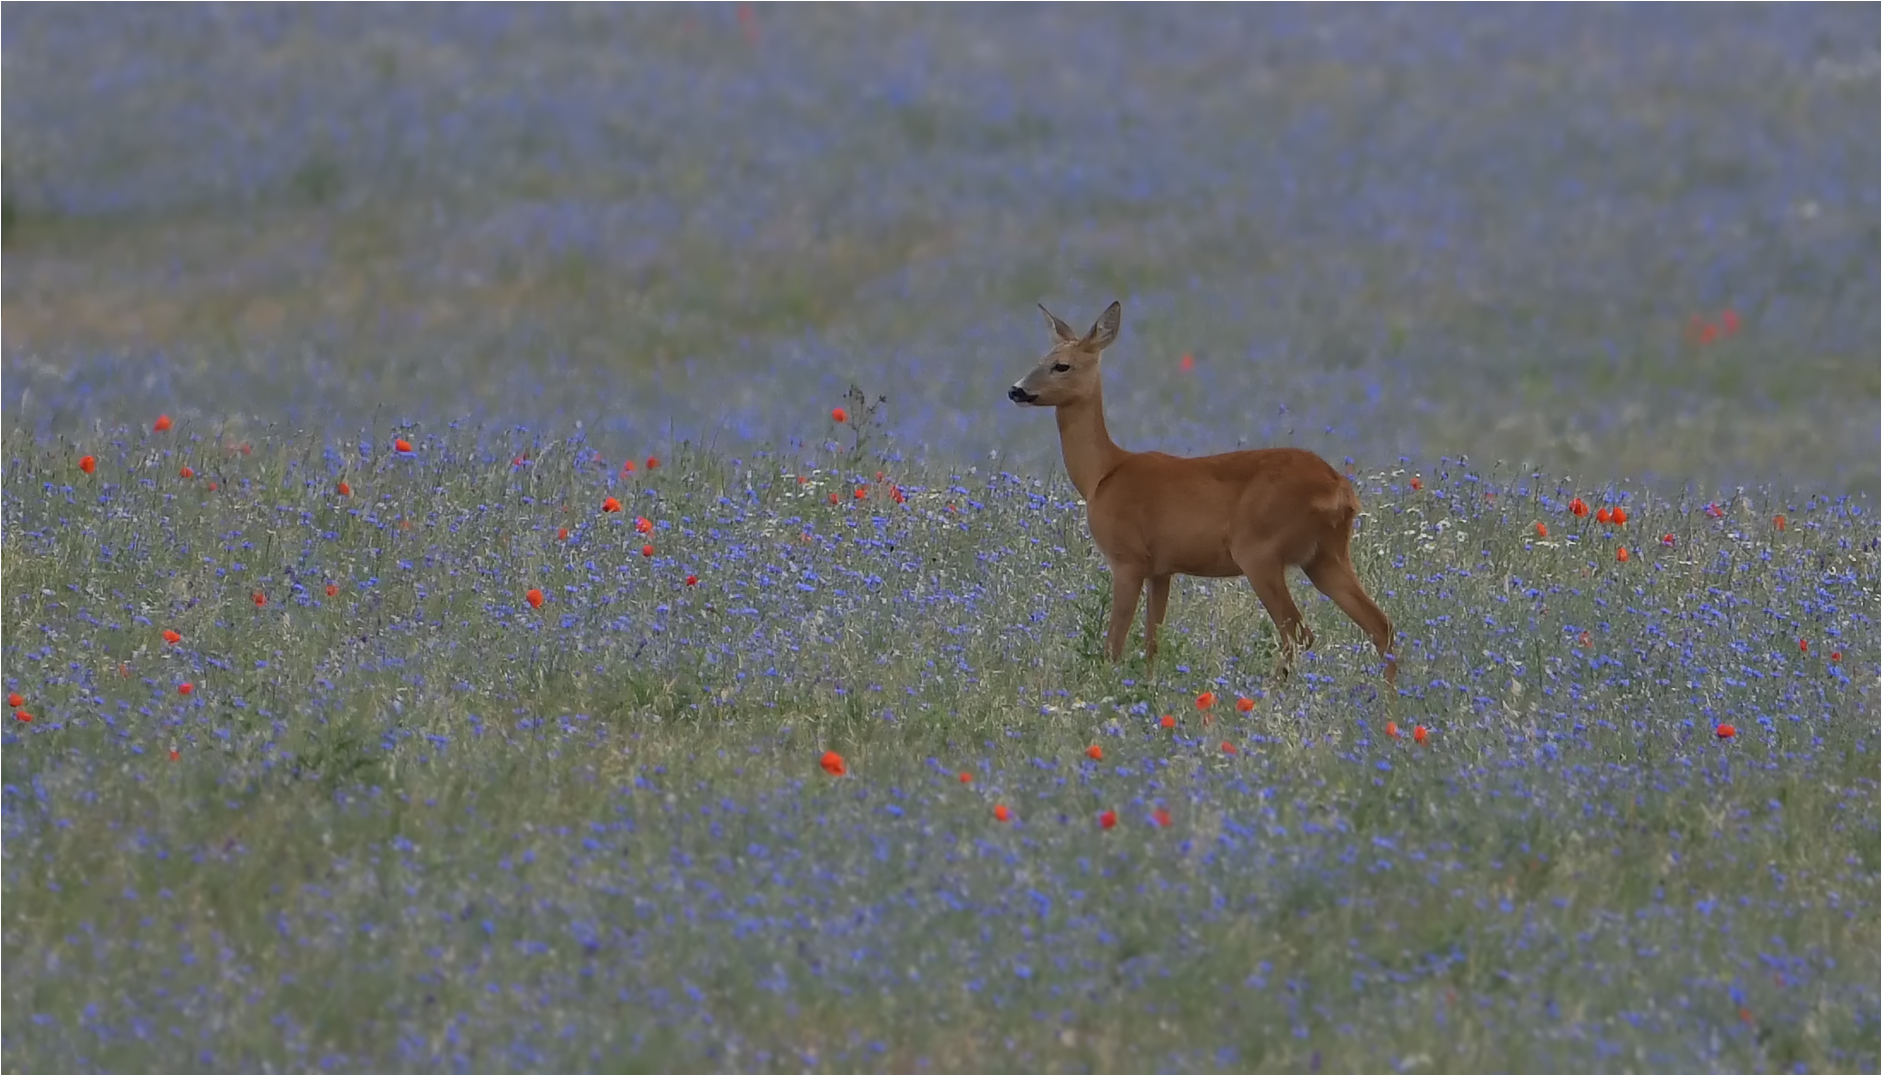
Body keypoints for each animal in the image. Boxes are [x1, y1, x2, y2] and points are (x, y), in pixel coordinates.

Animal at [1008, 299, 1392, 684]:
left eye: (1062, 365)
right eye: (1039, 358)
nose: (1016, 390)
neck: (1102, 474)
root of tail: (1341, 489)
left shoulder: (1127, 558)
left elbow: (1114, 644)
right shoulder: (1161, 569)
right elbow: (1152, 642)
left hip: (1260, 550)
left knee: (1299, 633)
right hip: (1326, 555)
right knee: (1381, 625)